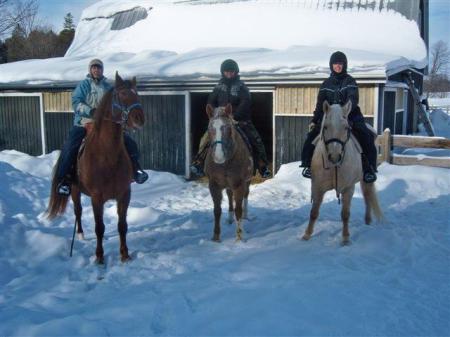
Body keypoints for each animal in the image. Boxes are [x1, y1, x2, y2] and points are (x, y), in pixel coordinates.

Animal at [204, 103, 253, 240]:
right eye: (210, 128)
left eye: (228, 128)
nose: (218, 156)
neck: (225, 163)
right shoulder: (214, 185)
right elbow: (217, 210)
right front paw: (216, 237)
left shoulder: (239, 185)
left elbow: (238, 210)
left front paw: (239, 237)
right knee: (230, 197)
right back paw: (230, 219)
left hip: (247, 181)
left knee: (246, 196)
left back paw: (246, 215)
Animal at [302, 100, 384, 244]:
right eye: (325, 127)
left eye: (346, 128)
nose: (335, 157)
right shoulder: (317, 187)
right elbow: (314, 212)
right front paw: (307, 235)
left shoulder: (348, 188)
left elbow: (345, 214)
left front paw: (345, 238)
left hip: (366, 179)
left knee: (367, 196)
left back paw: (367, 221)